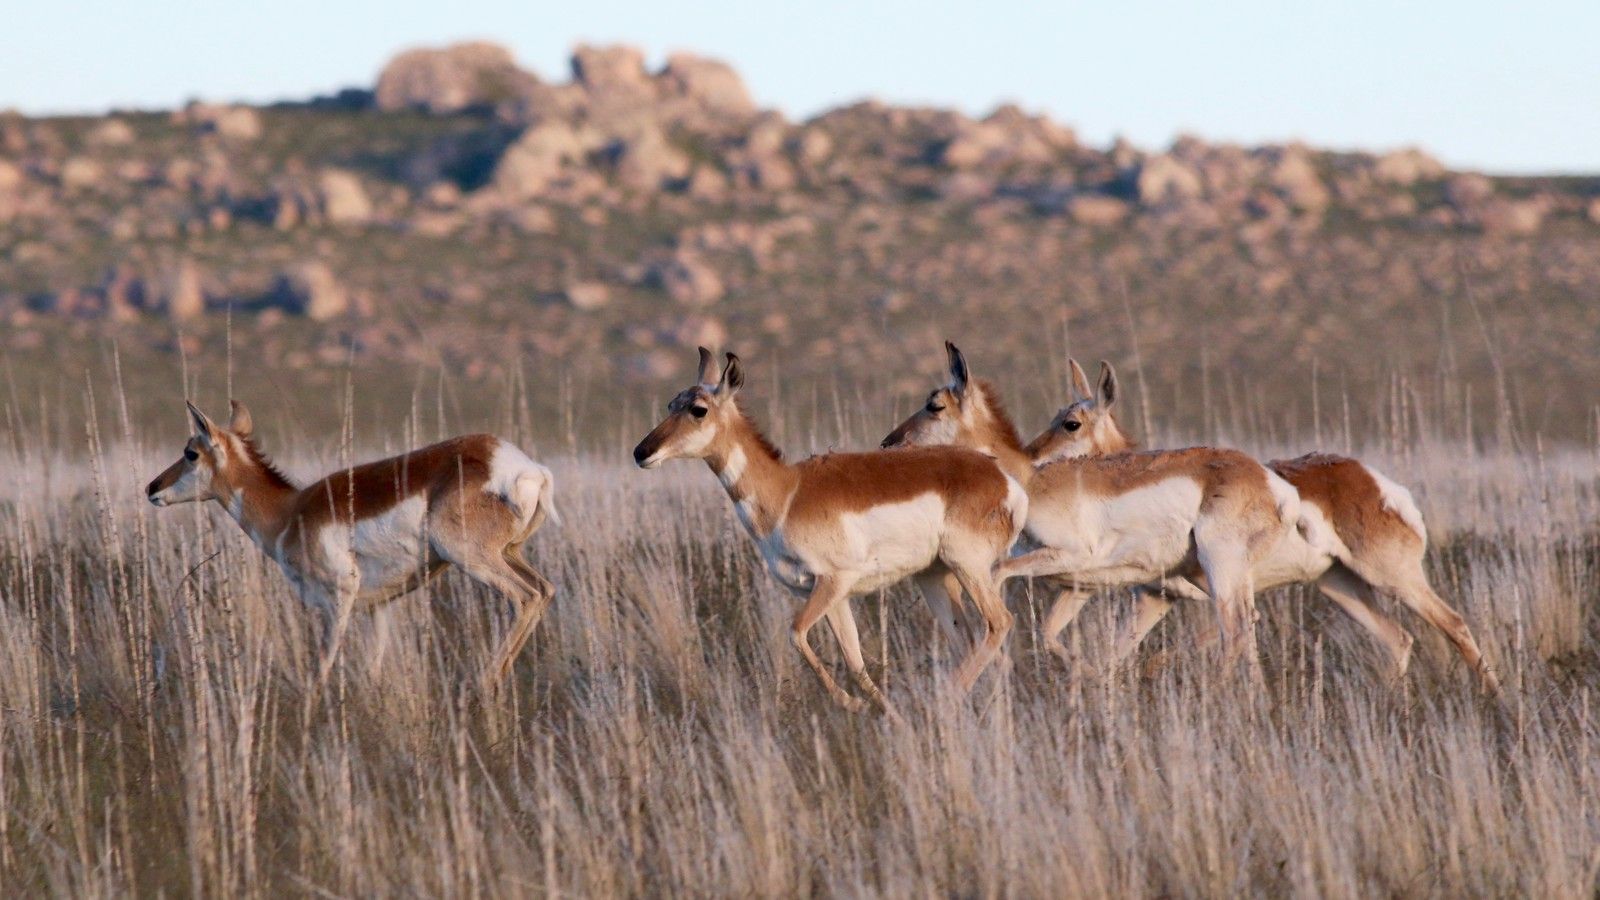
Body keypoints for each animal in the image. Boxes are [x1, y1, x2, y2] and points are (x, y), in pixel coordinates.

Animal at [147, 400, 557, 691]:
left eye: (191, 452)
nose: (152, 487)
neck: (290, 511)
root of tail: (524, 468)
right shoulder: (379, 608)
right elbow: (374, 669)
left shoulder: (338, 599)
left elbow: (321, 669)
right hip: (509, 554)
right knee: (544, 590)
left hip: (472, 559)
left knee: (525, 597)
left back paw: (483, 684)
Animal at [632, 348, 1028, 714]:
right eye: (671, 404)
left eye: (698, 409)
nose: (641, 452)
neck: (787, 490)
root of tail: (1002, 478)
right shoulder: (834, 595)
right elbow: (855, 661)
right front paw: (880, 711)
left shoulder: (833, 581)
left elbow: (795, 633)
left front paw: (851, 703)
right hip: (934, 578)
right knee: (978, 645)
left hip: (967, 569)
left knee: (999, 624)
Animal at [883, 343, 1299, 672]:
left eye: (934, 405)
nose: (888, 443)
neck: (1031, 481)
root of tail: (1272, 483)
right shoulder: (1079, 585)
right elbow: (1049, 633)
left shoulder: (1066, 557)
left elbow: (999, 577)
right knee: (1244, 627)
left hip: (1216, 569)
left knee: (1236, 628)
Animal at [1018, 356, 1498, 692]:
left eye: (1071, 423)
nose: (1027, 459)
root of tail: (1376, 482)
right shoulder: (1155, 599)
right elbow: (1115, 655)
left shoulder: (1210, 592)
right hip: (1341, 587)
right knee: (1399, 638)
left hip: (1391, 577)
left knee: (1454, 624)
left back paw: (1494, 698)